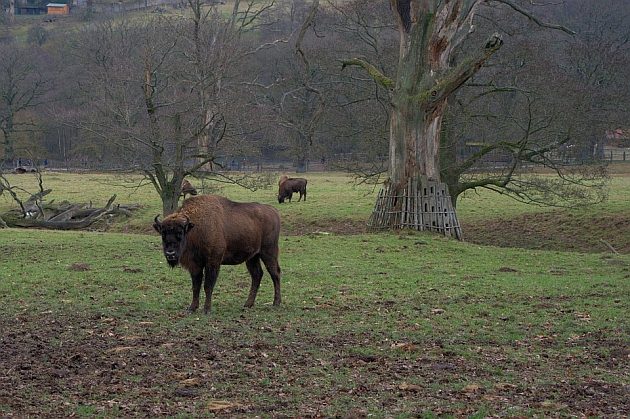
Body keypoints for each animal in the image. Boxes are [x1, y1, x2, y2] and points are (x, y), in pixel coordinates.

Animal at [153, 196, 282, 316]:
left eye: (180, 232)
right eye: (163, 234)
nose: (170, 253)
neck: (194, 228)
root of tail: (273, 211)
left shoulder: (213, 262)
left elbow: (208, 285)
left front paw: (207, 310)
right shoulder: (195, 265)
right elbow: (196, 286)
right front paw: (192, 308)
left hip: (268, 252)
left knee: (275, 274)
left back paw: (276, 303)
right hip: (252, 257)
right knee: (257, 275)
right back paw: (248, 304)